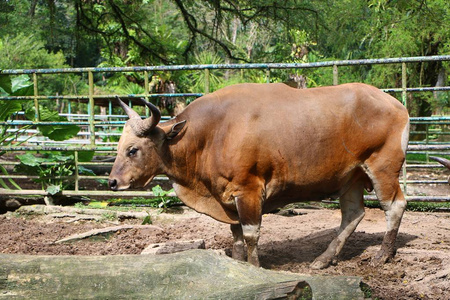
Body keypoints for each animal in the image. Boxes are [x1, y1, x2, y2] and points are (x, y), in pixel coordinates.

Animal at [109, 82, 412, 270]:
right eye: (119, 147)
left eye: (133, 149)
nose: (112, 182)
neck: (212, 134)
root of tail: (397, 105)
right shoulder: (228, 195)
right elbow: (236, 236)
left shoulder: (249, 190)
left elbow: (251, 234)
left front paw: (255, 266)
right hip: (351, 177)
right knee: (353, 214)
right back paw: (324, 259)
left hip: (383, 167)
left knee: (395, 205)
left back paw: (383, 255)